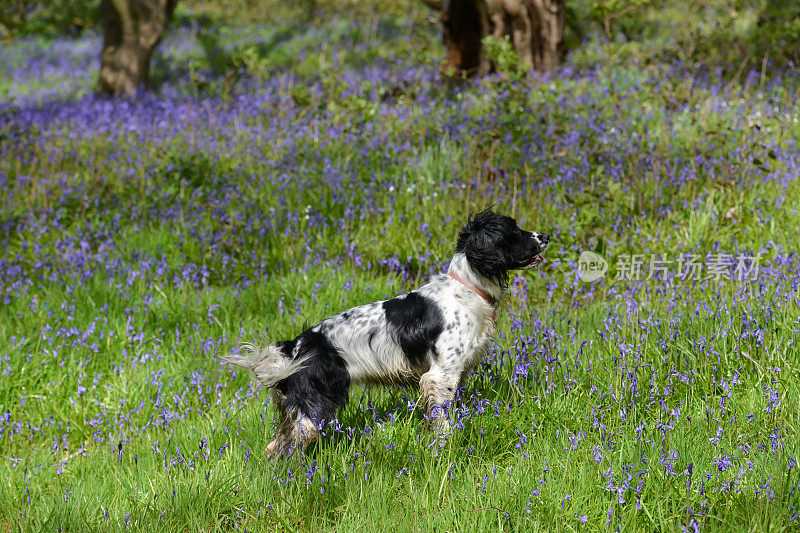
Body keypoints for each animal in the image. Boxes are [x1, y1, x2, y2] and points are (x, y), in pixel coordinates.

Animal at [228, 208, 548, 458]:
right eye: (514, 230)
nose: (546, 236)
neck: (465, 288)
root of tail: (296, 346)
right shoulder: (441, 375)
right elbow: (443, 423)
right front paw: (445, 450)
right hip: (314, 408)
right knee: (284, 452)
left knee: (274, 447)